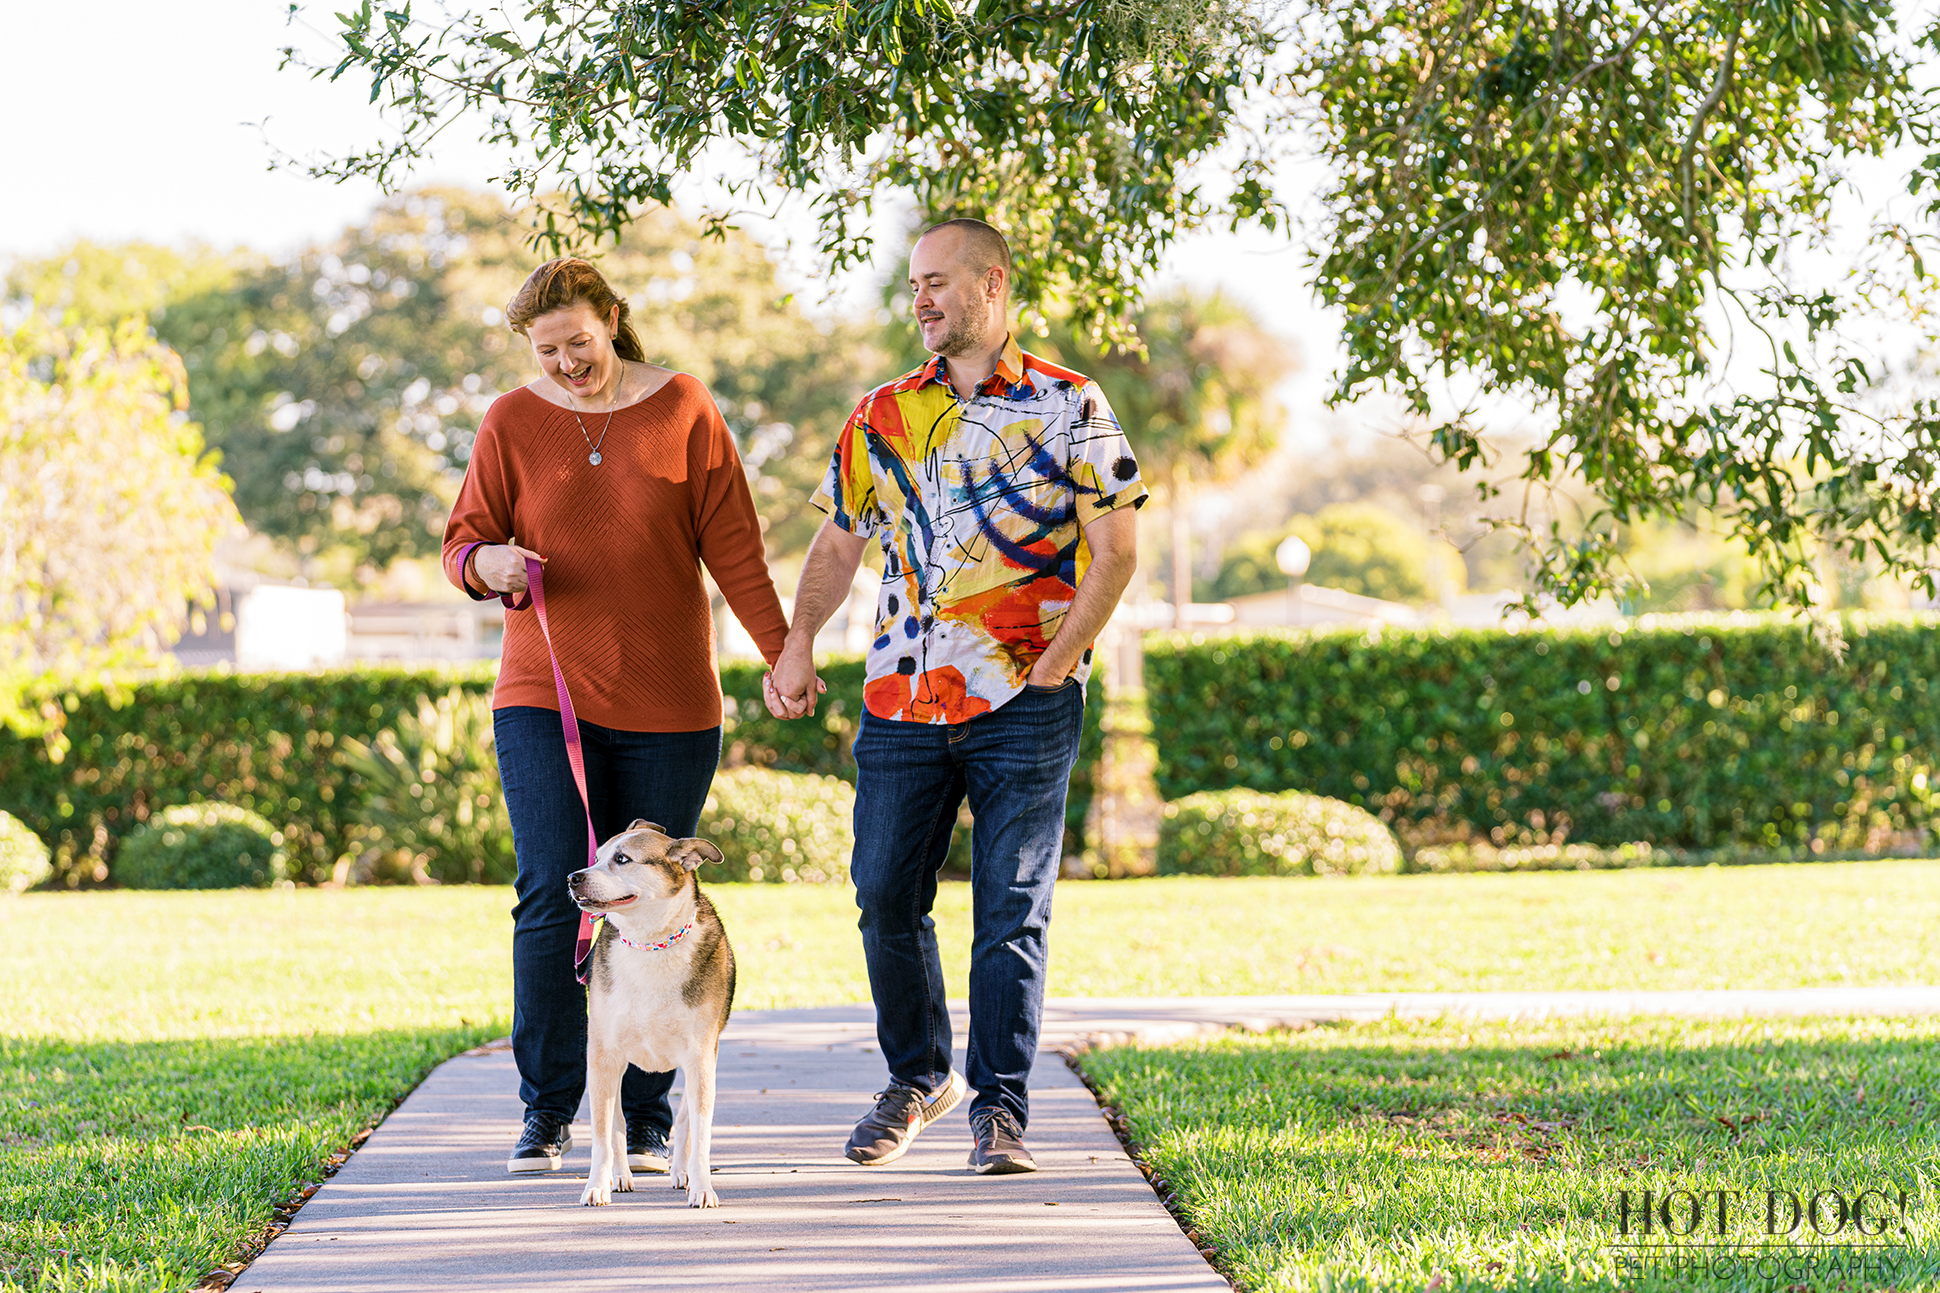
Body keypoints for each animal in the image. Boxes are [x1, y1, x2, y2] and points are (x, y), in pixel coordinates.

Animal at [570, 819, 737, 1203]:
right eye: (597, 857)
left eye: (622, 859)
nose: (573, 877)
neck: (650, 942)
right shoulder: (603, 1056)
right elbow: (603, 1134)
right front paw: (596, 1185)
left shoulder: (699, 1058)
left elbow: (698, 1132)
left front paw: (701, 1186)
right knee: (617, 1122)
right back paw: (620, 1175)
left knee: (685, 1121)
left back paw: (681, 1173)